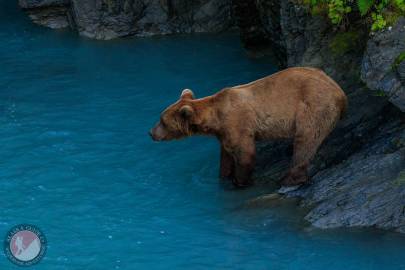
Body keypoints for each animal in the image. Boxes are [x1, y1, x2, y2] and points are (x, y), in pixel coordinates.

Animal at [150, 66, 346, 187]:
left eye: (162, 121)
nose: (151, 133)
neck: (215, 118)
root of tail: (340, 92)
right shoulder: (223, 133)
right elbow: (226, 155)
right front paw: (224, 175)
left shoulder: (236, 122)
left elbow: (245, 153)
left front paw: (239, 182)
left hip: (314, 106)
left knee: (305, 140)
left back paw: (289, 179)